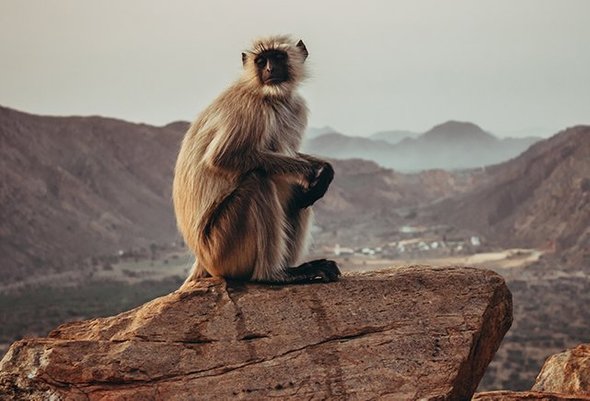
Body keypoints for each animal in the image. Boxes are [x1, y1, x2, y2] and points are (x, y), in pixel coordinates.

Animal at [173, 35, 340, 284]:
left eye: (278, 57)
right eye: (261, 61)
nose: (270, 69)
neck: (270, 95)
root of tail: (202, 261)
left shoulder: (296, 107)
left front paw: (324, 169)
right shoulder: (251, 108)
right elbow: (223, 158)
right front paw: (312, 171)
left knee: (297, 194)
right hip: (222, 247)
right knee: (258, 179)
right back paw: (273, 275)